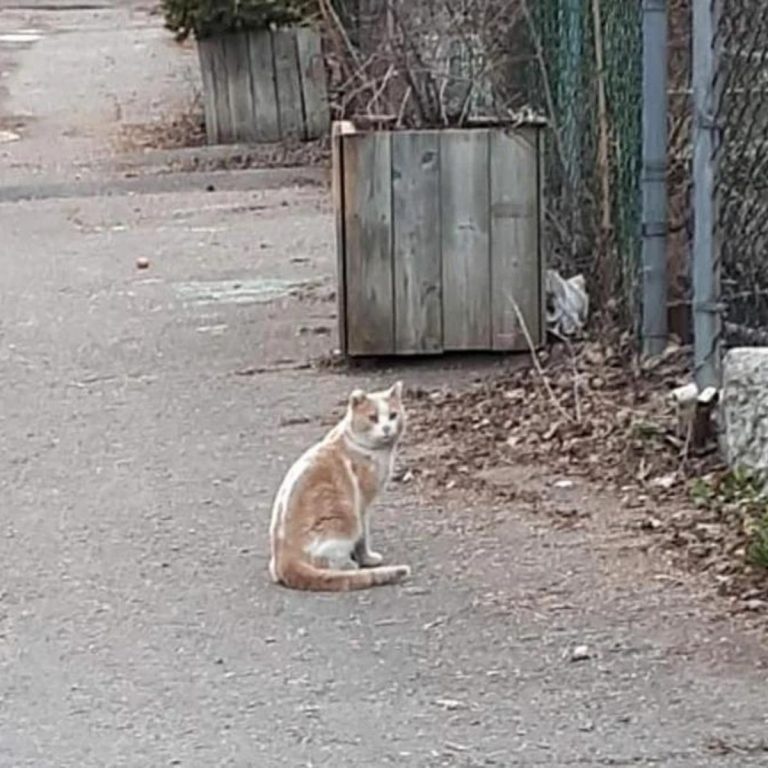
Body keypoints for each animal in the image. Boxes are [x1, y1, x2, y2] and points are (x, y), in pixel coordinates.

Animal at [272, 380, 414, 592]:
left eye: (393, 415)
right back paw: (350, 565)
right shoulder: (362, 504)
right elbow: (364, 537)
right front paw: (367, 558)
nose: (387, 428)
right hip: (343, 519)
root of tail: (284, 561)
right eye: (373, 418)